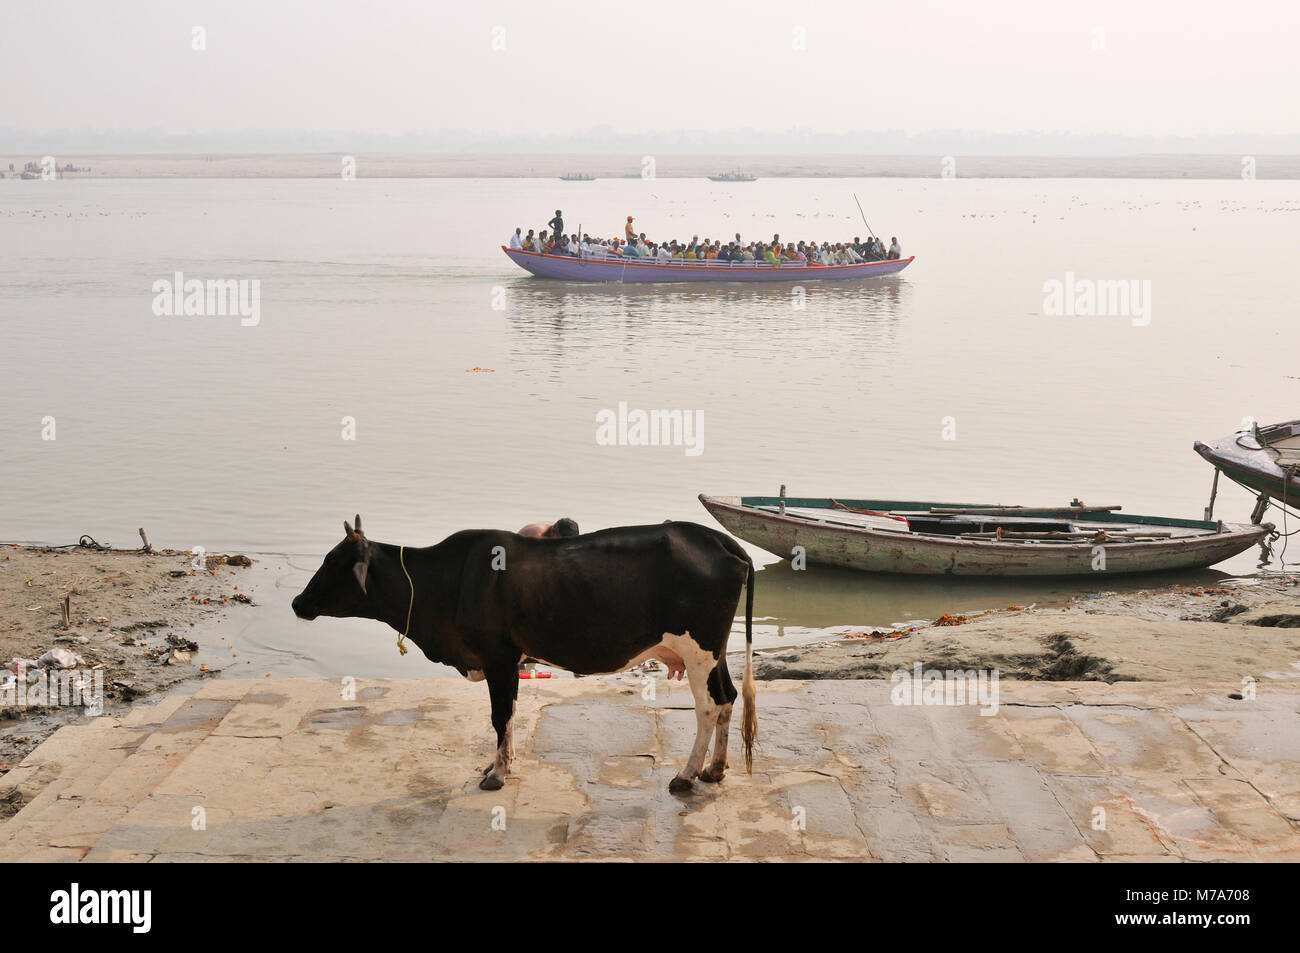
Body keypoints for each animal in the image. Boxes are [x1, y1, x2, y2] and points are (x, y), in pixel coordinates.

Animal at [289, 517, 759, 790]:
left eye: (332, 561)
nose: (297, 602)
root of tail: (716, 538)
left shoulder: (498, 656)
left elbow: (501, 715)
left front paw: (497, 774)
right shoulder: (508, 660)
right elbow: (510, 714)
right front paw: (498, 765)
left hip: (698, 648)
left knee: (708, 707)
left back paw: (686, 775)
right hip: (714, 651)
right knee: (727, 698)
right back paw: (715, 770)